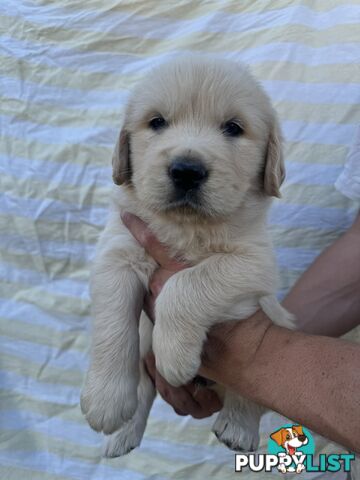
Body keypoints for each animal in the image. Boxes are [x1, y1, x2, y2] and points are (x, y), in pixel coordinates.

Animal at [80, 56, 294, 458]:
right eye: (157, 122)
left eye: (233, 128)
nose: (187, 171)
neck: (187, 226)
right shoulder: (118, 253)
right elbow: (113, 324)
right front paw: (105, 399)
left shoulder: (255, 264)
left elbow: (186, 284)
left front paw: (174, 354)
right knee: (144, 383)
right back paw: (123, 435)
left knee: (248, 397)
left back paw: (237, 427)